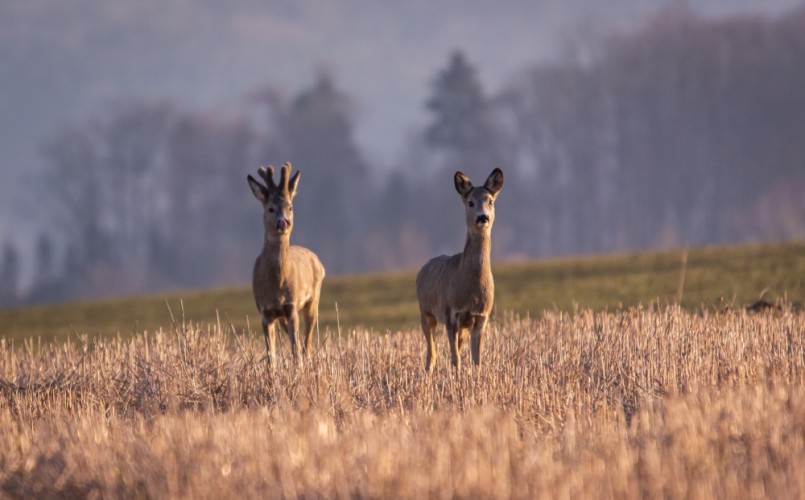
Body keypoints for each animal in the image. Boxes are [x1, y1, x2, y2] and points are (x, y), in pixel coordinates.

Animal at [245, 162, 324, 366]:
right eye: (271, 208)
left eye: (290, 207)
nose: (284, 222)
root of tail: (318, 261)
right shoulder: (265, 312)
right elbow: (270, 357)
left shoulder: (291, 306)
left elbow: (297, 351)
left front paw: (298, 369)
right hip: (282, 318)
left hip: (313, 301)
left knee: (306, 344)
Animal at [418, 167, 500, 372]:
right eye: (470, 202)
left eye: (491, 201)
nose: (482, 217)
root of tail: (422, 270)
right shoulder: (450, 314)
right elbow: (455, 359)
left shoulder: (481, 317)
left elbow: (476, 360)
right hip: (426, 312)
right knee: (431, 355)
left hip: (462, 326)